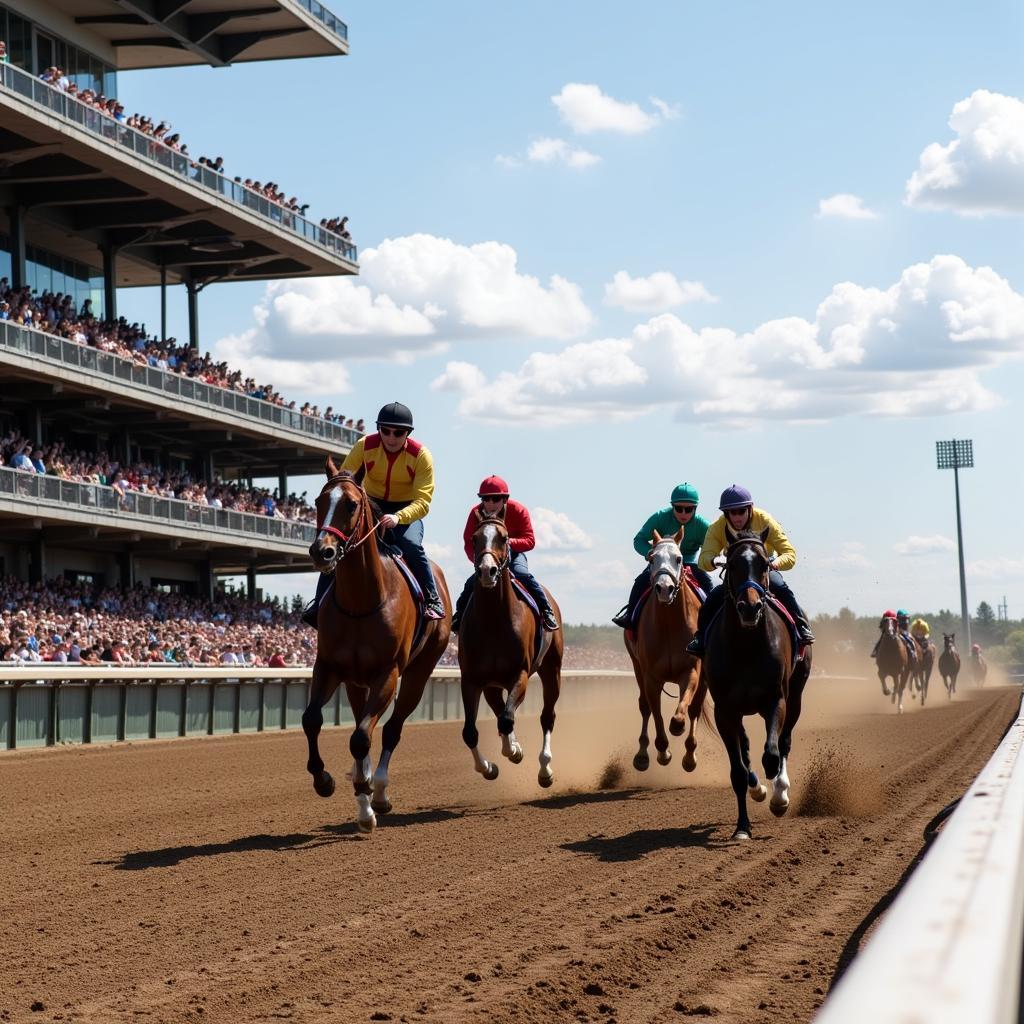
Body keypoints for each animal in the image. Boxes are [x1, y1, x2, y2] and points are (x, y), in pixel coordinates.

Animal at [299, 464, 452, 831]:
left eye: (352, 504)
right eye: (319, 500)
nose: (322, 551)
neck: (361, 601)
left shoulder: (388, 673)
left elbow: (362, 737)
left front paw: (367, 798)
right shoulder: (328, 666)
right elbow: (312, 720)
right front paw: (324, 780)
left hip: (419, 672)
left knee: (390, 729)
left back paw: (378, 793)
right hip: (356, 681)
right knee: (361, 722)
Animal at [458, 516, 565, 786]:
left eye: (504, 537)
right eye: (474, 538)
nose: (487, 571)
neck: (494, 621)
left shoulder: (520, 674)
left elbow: (507, 719)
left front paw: (514, 751)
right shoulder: (472, 680)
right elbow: (471, 732)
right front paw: (489, 767)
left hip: (552, 670)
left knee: (546, 716)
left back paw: (545, 769)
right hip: (493, 685)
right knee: (500, 711)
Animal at [622, 528, 712, 774]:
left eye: (679, 558)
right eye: (652, 558)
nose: (664, 589)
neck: (670, 623)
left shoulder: (692, 671)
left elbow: (684, 710)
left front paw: (678, 727)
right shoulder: (651, 677)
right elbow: (656, 713)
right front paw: (662, 752)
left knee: (695, 709)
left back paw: (689, 756)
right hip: (636, 666)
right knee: (644, 707)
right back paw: (642, 754)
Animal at [700, 528, 811, 839]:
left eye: (763, 563)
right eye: (732, 563)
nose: (750, 608)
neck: (747, 646)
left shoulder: (776, 700)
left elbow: (772, 754)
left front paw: (778, 796)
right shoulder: (725, 710)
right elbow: (738, 770)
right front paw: (742, 827)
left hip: (796, 695)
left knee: (783, 743)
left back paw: (779, 793)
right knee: (747, 747)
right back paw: (759, 788)